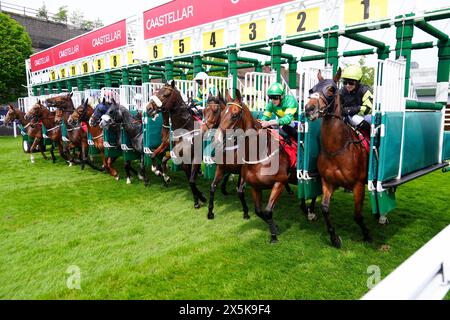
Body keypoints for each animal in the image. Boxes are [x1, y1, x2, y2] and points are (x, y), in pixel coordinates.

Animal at [304, 68, 370, 248]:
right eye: (312, 90)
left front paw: (367, 234)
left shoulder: (358, 185)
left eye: (332, 90)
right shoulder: (328, 182)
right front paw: (334, 237)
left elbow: (357, 215)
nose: (309, 109)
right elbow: (325, 208)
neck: (337, 149)